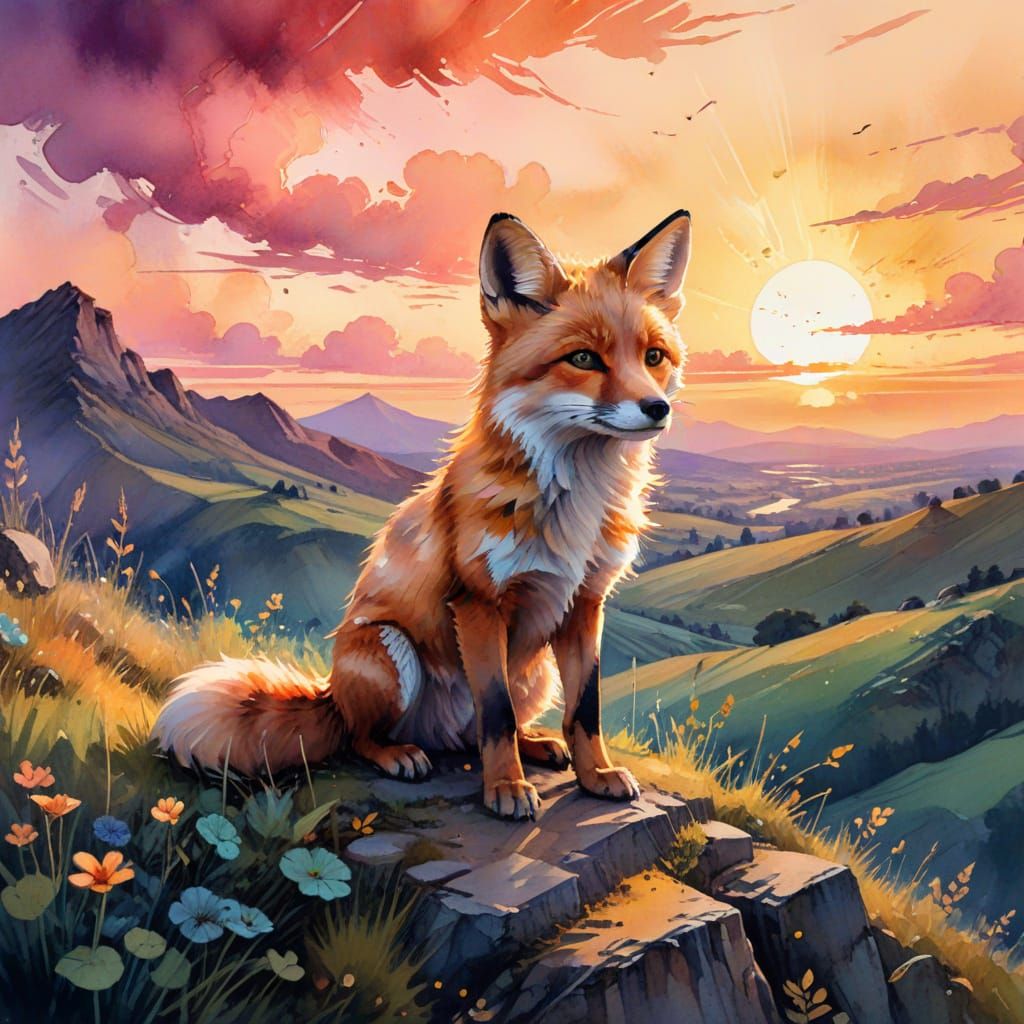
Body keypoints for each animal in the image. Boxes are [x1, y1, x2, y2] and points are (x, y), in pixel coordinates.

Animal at [153, 208, 692, 820]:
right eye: (583, 359)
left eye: (653, 357)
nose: (658, 408)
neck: (575, 504)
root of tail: (329, 693)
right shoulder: (477, 602)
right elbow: (496, 715)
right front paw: (506, 790)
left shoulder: (585, 604)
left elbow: (585, 710)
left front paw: (595, 775)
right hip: (391, 652)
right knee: (365, 737)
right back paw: (400, 755)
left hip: (535, 672)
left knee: (483, 731)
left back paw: (535, 745)